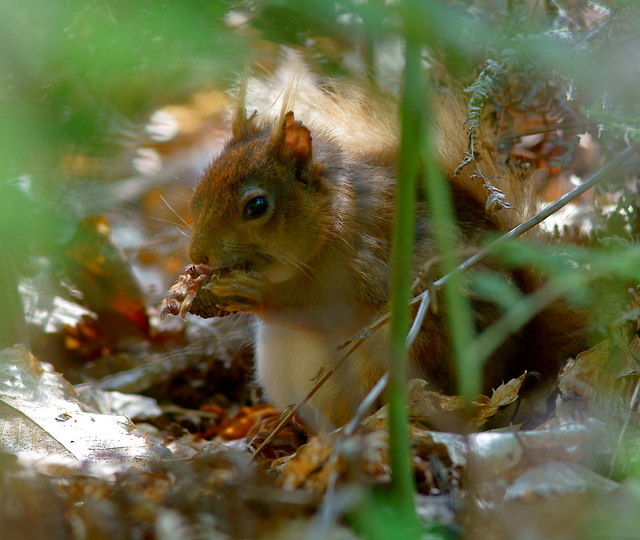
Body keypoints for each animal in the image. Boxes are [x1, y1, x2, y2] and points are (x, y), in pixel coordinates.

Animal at [168, 65, 588, 428]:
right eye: (200, 186)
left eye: (256, 206)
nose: (197, 255)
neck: (330, 219)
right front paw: (192, 282)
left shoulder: (365, 267)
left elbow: (322, 308)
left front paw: (253, 293)